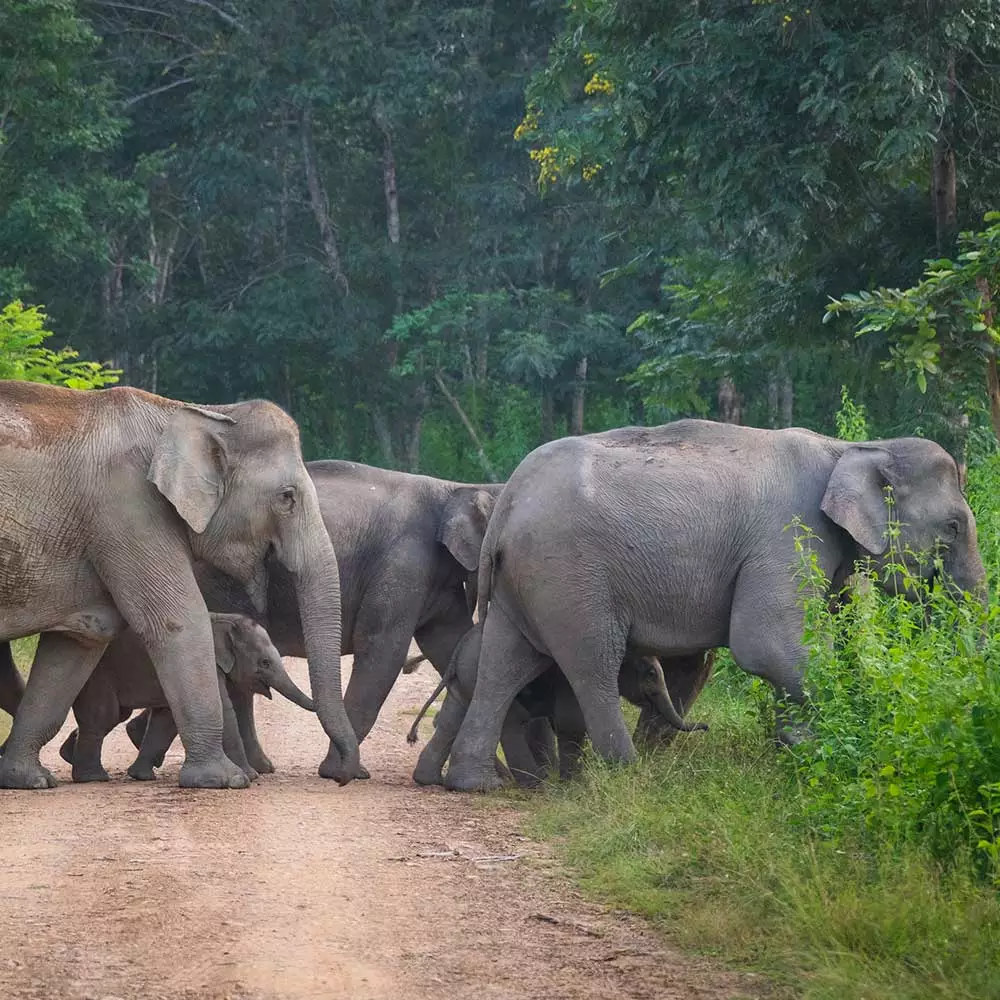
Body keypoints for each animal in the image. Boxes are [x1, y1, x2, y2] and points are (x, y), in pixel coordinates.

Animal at [59, 612, 308, 784]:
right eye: (264, 663)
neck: (226, 620)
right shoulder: (207, 664)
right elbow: (222, 709)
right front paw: (250, 776)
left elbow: (166, 719)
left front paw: (141, 776)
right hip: (99, 676)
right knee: (103, 717)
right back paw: (92, 777)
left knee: (112, 717)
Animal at [406, 620, 712, 784]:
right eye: (650, 674)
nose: (706, 726)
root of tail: (459, 651)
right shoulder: (568, 682)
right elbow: (570, 720)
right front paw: (575, 782)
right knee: (509, 718)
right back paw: (531, 783)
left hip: (464, 679)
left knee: (453, 716)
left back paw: (430, 779)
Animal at [444, 418, 984, 792]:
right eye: (954, 527)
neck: (850, 448)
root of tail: (507, 503)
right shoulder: (787, 537)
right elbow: (767, 645)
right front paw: (809, 749)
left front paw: (798, 747)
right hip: (568, 575)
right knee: (592, 663)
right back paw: (628, 774)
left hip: (525, 580)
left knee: (504, 664)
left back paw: (477, 784)